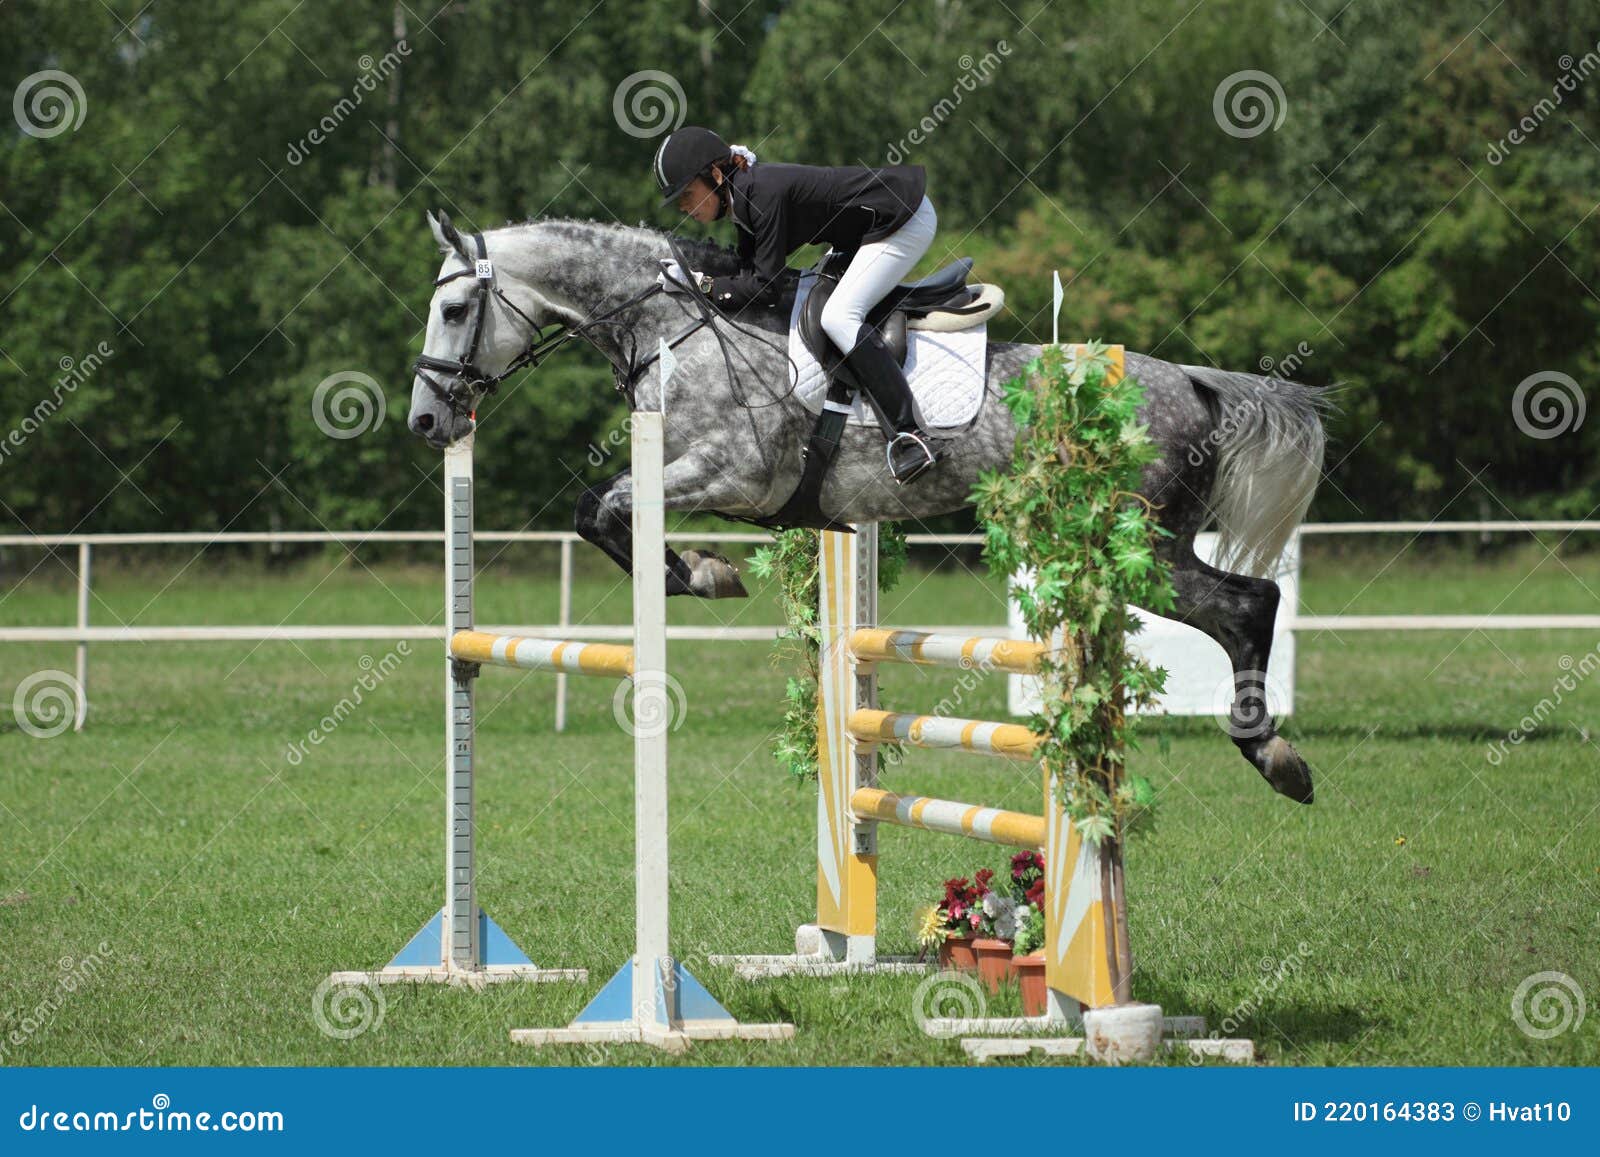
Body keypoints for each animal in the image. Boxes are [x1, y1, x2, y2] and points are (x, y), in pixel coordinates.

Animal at [406, 212, 1331, 800]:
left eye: (452, 308)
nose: (426, 422)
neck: (676, 327)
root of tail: (1197, 384)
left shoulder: (727, 473)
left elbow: (600, 508)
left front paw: (699, 573)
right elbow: (600, 510)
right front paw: (699, 568)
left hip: (1138, 543)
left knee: (1251, 603)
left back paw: (1274, 754)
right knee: (1243, 605)